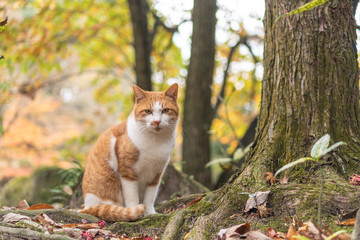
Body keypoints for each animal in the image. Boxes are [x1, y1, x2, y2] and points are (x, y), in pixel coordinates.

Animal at [80, 84, 179, 221]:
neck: (155, 142)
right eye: (148, 111)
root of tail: (86, 207)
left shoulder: (156, 174)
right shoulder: (127, 173)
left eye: (165, 110)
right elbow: (132, 198)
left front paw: (150, 213)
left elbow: (149, 197)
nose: (157, 122)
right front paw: (135, 213)